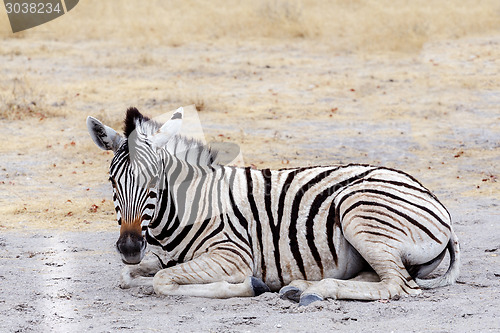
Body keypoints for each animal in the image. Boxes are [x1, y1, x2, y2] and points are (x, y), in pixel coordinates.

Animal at [86, 106, 460, 304]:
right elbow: (128, 275)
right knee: (380, 276)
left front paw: (250, 286)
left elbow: (163, 282)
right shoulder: (162, 257)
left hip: (359, 211)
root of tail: (432, 197)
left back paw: (313, 291)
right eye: (112, 182)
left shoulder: (233, 255)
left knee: (396, 285)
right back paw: (300, 287)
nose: (130, 247)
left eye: (155, 182)